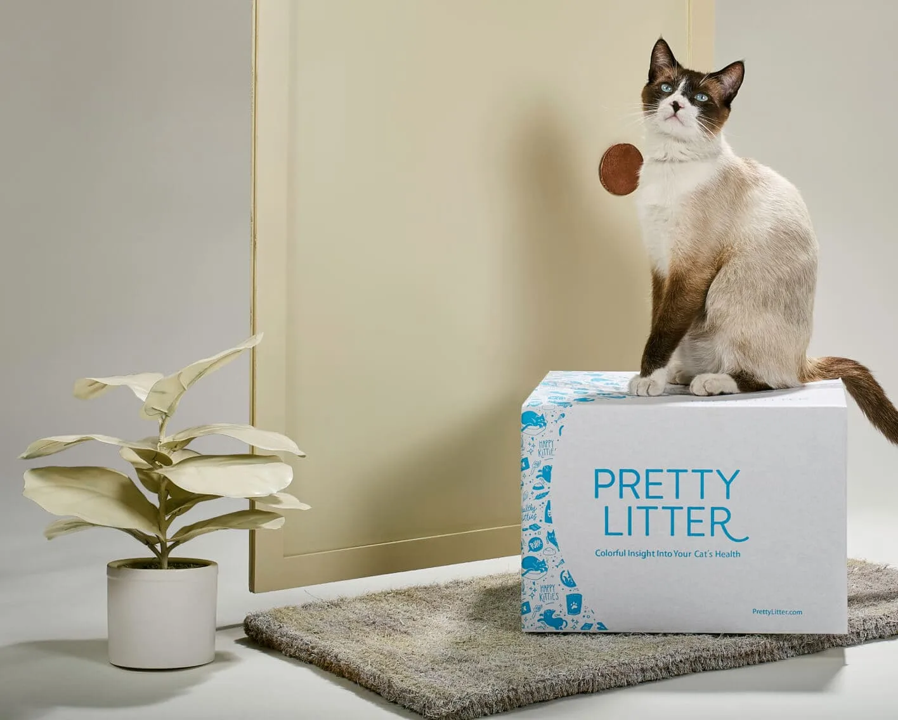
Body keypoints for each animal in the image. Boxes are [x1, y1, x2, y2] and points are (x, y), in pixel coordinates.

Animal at [628, 38, 896, 444]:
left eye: (701, 98)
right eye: (666, 88)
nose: (676, 105)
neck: (669, 166)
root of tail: (802, 360)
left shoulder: (689, 269)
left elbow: (664, 330)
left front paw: (648, 381)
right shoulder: (661, 265)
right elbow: (659, 320)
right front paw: (653, 376)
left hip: (726, 293)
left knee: (775, 381)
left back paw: (712, 381)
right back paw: (686, 373)